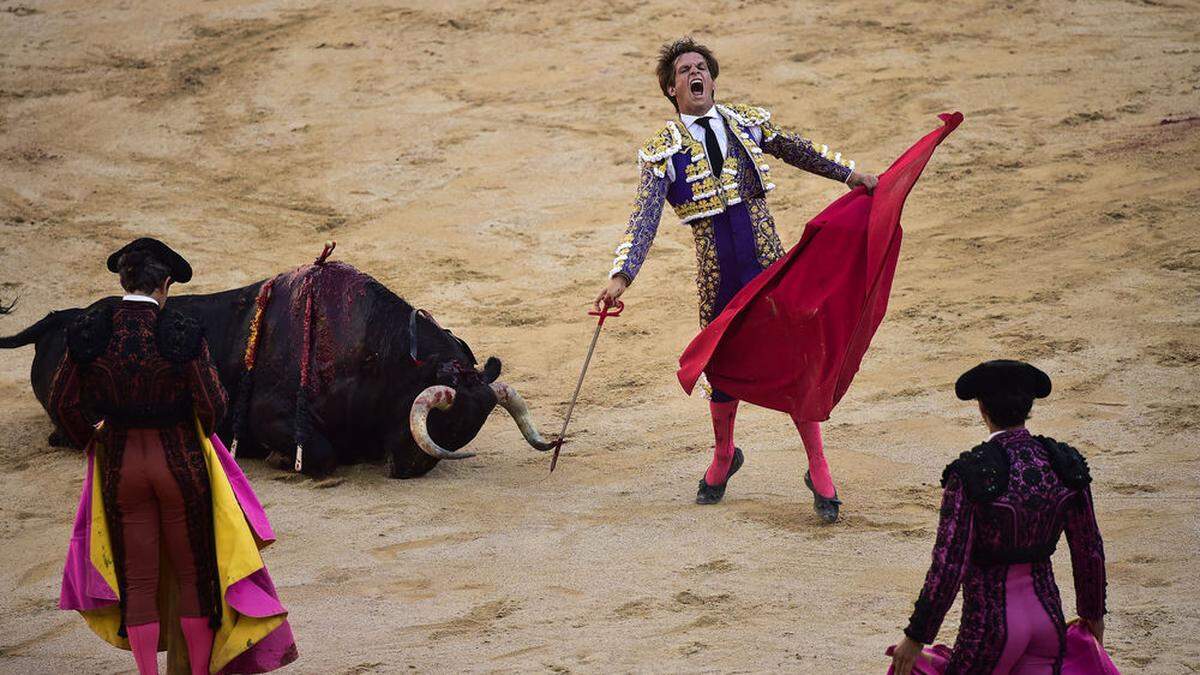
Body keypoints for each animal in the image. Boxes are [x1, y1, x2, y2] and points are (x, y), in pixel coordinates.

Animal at [0, 254, 552, 475]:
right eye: (443, 419)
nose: (411, 469)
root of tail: (64, 317)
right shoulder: (274, 416)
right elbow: (320, 454)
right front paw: (278, 459)